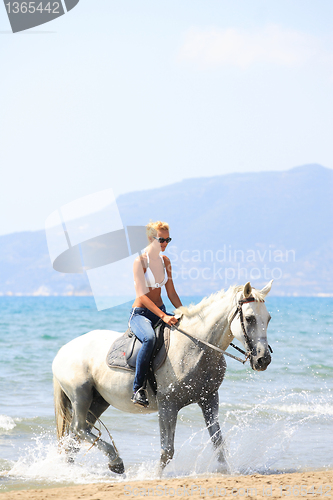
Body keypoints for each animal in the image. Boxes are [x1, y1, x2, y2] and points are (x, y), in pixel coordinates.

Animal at [52, 282, 272, 472]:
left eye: (268, 318)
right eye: (250, 318)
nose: (263, 359)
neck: (196, 346)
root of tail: (62, 351)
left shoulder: (209, 398)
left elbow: (218, 442)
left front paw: (225, 472)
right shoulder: (168, 405)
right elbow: (167, 451)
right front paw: (154, 476)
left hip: (98, 400)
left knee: (75, 437)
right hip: (81, 395)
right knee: (79, 429)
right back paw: (116, 462)